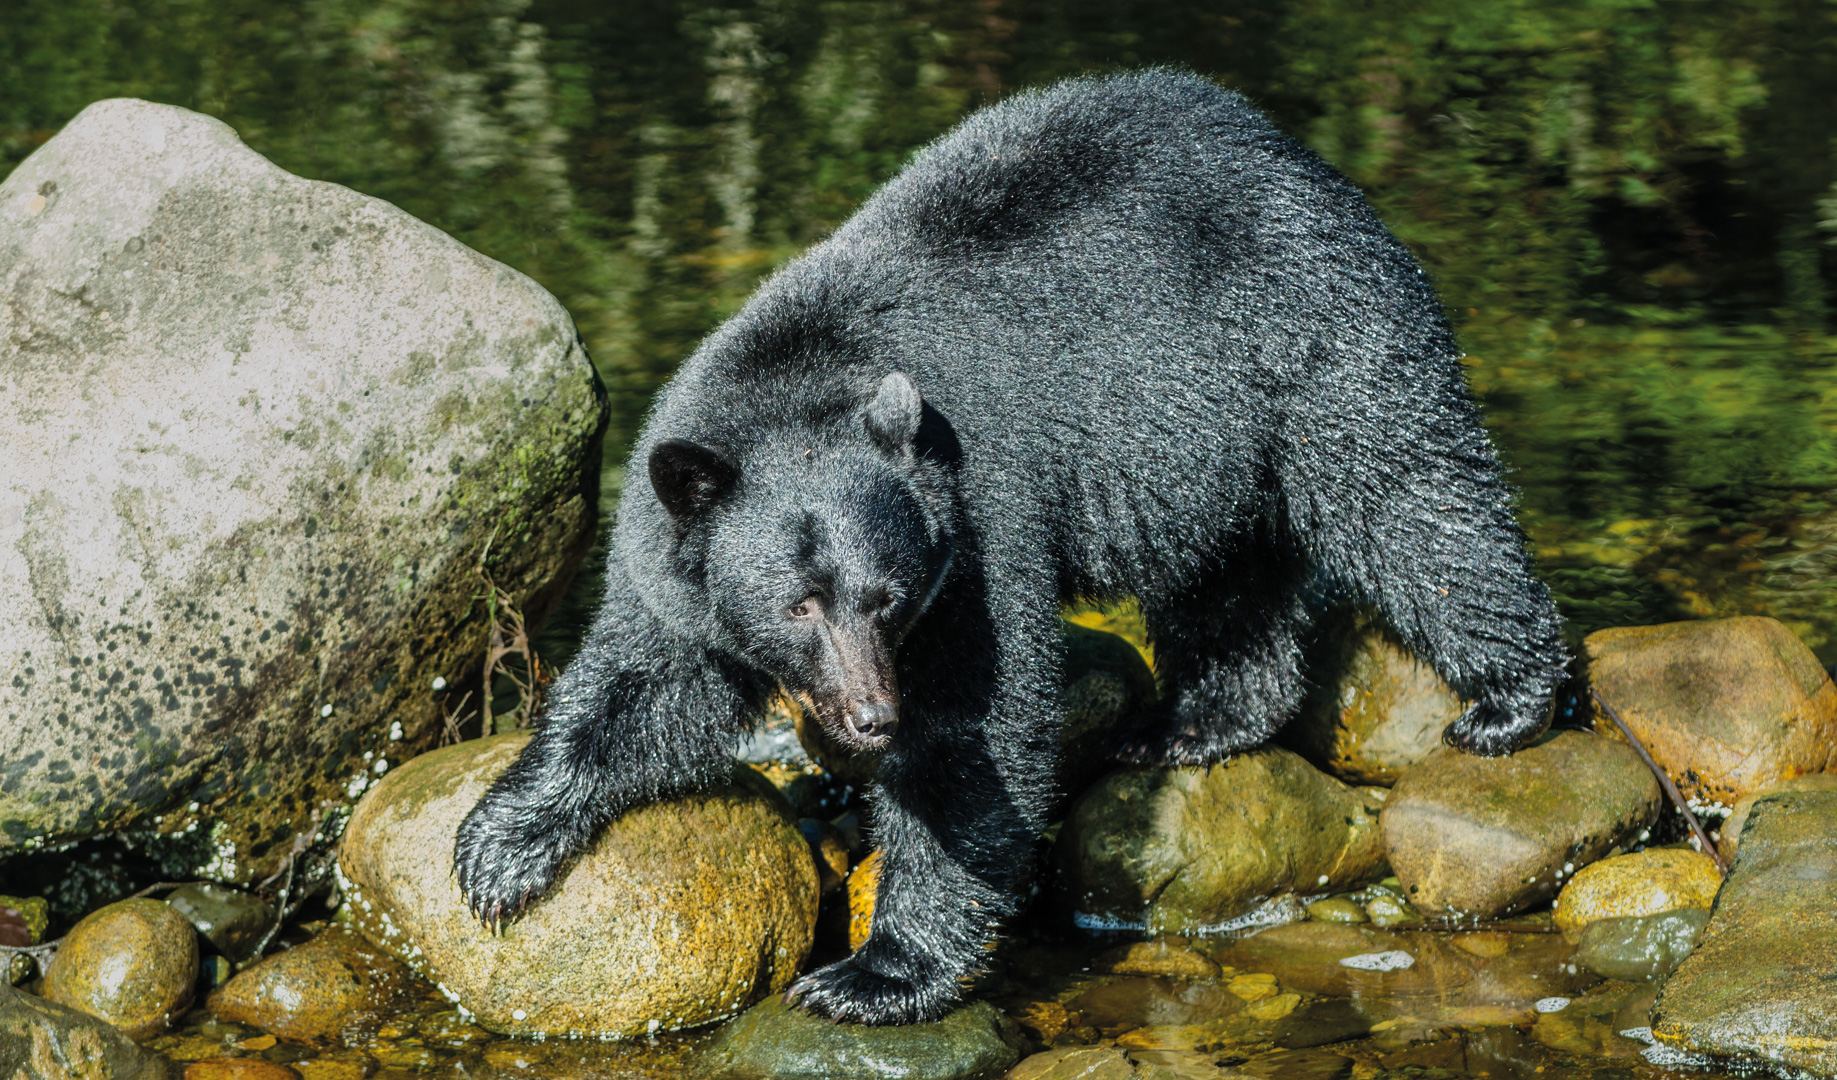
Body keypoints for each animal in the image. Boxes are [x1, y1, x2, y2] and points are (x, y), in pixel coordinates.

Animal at [455, 71, 1565, 1028]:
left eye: (888, 596)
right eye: (797, 604)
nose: (870, 715)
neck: (801, 377)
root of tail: (1284, 145)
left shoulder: (978, 524)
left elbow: (972, 731)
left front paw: (875, 973)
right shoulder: (679, 557)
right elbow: (647, 684)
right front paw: (500, 847)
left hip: (1318, 334)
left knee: (1411, 500)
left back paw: (1510, 701)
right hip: (1206, 443)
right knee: (1225, 575)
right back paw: (1191, 724)